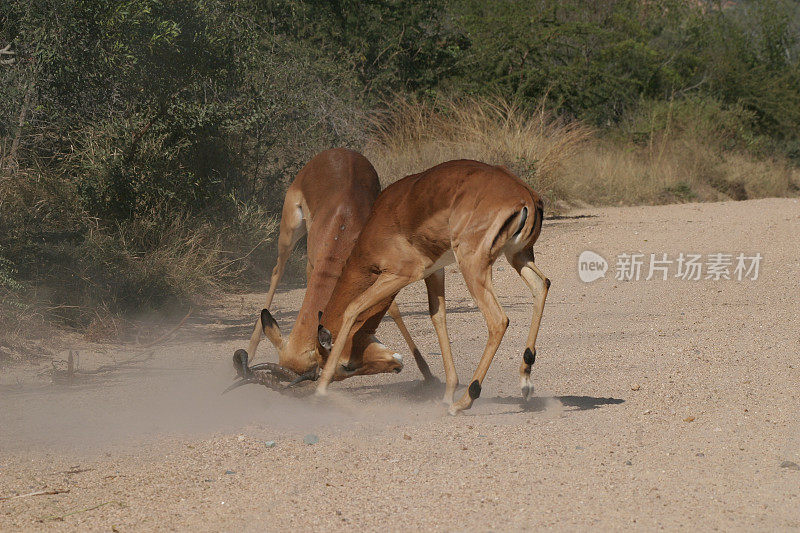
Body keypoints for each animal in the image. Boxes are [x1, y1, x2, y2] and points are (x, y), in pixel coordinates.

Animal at [234, 148, 434, 388]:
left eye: (345, 365)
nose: (396, 367)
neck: (341, 234)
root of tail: (340, 151)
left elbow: (391, 309)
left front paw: (429, 375)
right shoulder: (315, 266)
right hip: (290, 232)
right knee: (277, 272)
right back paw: (251, 350)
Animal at [312, 160, 552, 414]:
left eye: (346, 366)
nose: (396, 367)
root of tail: (525, 196)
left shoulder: (401, 274)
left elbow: (353, 307)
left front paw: (320, 391)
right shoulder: (434, 271)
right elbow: (438, 317)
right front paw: (447, 393)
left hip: (473, 266)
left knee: (498, 320)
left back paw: (464, 401)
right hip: (518, 256)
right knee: (542, 285)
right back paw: (524, 382)